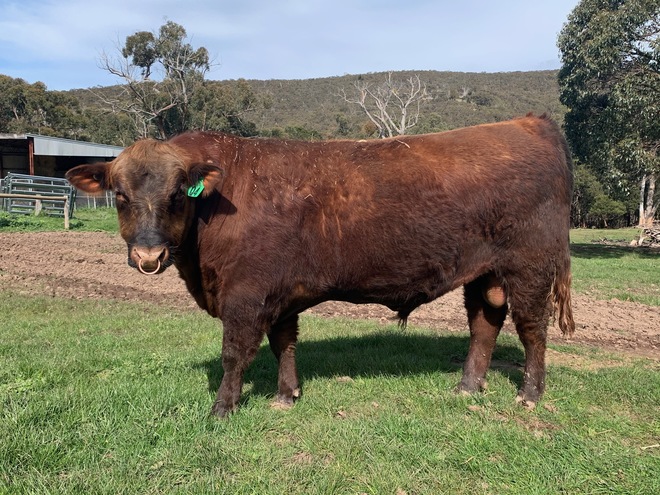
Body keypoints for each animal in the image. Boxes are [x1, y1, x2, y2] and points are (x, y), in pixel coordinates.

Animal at [66, 114, 575, 417]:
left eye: (176, 195)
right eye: (120, 195)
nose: (148, 256)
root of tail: (528, 122)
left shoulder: (246, 294)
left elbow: (235, 353)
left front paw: (222, 408)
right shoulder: (278, 292)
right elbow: (284, 345)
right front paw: (285, 395)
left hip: (529, 267)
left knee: (532, 329)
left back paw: (530, 395)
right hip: (485, 273)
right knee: (484, 324)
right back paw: (468, 387)